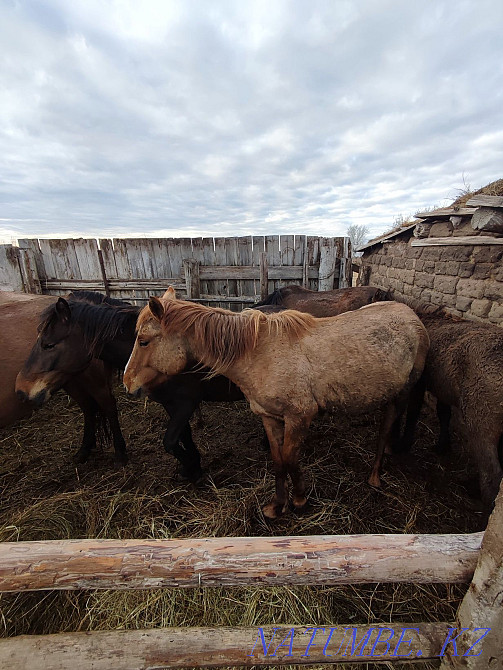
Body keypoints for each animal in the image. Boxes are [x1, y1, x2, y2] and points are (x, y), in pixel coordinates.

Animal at [1, 291, 128, 464]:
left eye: (49, 345)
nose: (20, 391)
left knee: (107, 406)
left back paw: (119, 452)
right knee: (88, 408)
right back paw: (84, 450)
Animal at [124, 293, 429, 518]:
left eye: (143, 341)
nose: (128, 384)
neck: (260, 354)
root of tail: (411, 315)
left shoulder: (299, 418)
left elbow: (291, 459)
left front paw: (299, 500)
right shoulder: (269, 417)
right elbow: (278, 460)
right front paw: (276, 505)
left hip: (403, 392)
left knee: (386, 427)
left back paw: (375, 475)